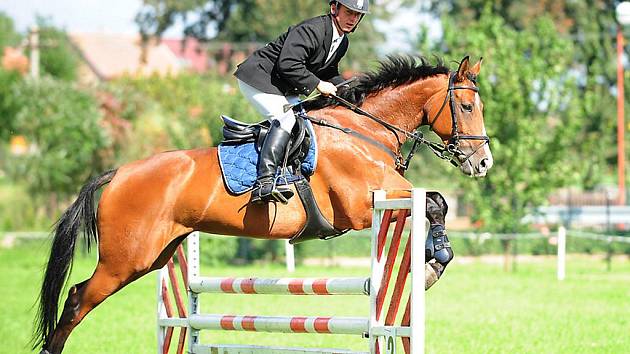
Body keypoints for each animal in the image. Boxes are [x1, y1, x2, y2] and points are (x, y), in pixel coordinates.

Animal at [34, 54, 494, 352]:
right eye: (466, 105)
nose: (483, 162)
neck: (364, 131)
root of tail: (118, 174)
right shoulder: (363, 206)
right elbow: (434, 202)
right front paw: (435, 261)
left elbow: (436, 203)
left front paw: (434, 259)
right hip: (124, 260)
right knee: (75, 300)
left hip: (154, 256)